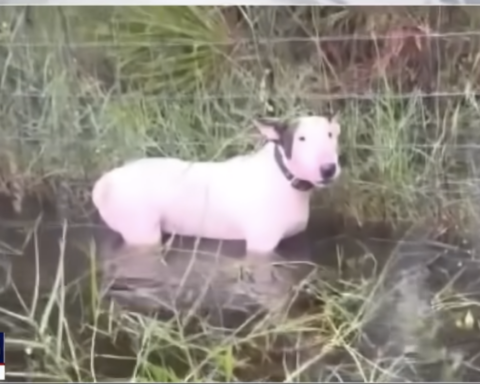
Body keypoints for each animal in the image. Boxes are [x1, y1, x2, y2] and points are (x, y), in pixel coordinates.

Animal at [92, 115, 342, 256]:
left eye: (331, 135)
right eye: (301, 138)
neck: (284, 178)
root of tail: (104, 183)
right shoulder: (261, 246)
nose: (328, 169)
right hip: (141, 232)